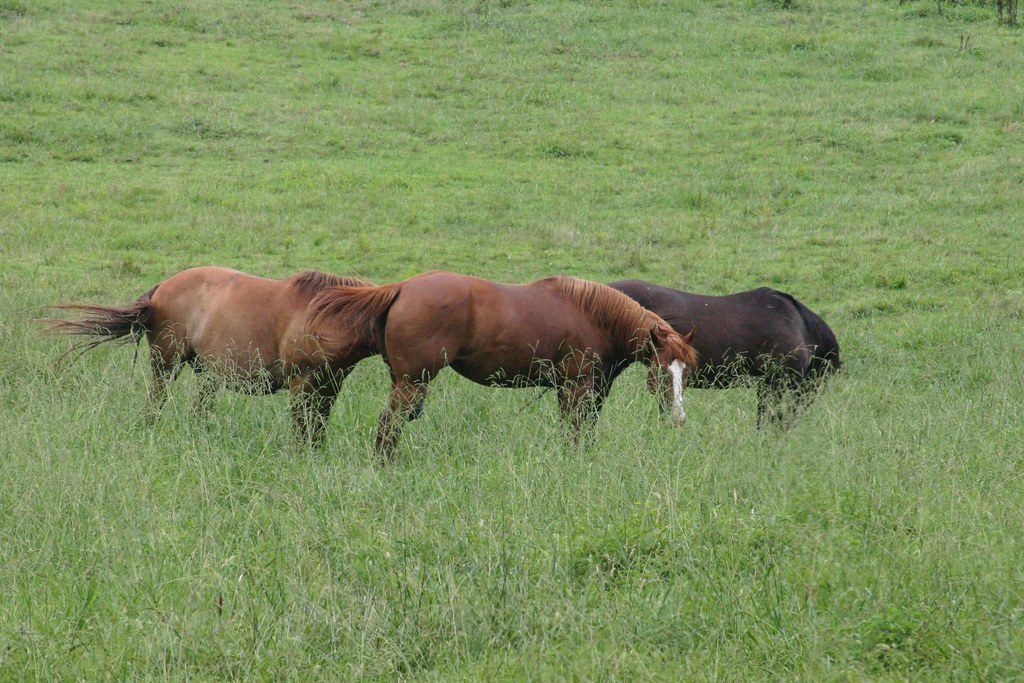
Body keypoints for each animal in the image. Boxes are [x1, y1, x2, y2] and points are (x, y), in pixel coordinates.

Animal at [45, 264, 372, 446]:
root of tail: (160, 289)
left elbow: (318, 425)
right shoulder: (301, 384)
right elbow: (303, 426)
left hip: (207, 375)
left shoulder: (330, 385)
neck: (323, 317)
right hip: (166, 364)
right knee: (156, 402)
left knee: (199, 410)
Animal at [307, 270, 700, 462]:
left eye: (685, 373)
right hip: (411, 382)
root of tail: (402, 288)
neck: (593, 316)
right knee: (389, 424)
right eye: (661, 373)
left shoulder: (573, 390)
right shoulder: (577, 387)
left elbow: (577, 430)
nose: (679, 420)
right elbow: (575, 431)